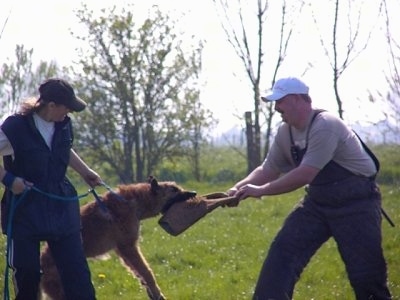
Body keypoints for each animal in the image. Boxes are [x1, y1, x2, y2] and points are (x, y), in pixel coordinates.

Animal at [39, 177, 196, 298]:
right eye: (174, 190)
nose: (194, 192)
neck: (134, 202)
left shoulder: (123, 251)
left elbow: (139, 273)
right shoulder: (129, 247)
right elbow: (147, 272)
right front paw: (158, 294)